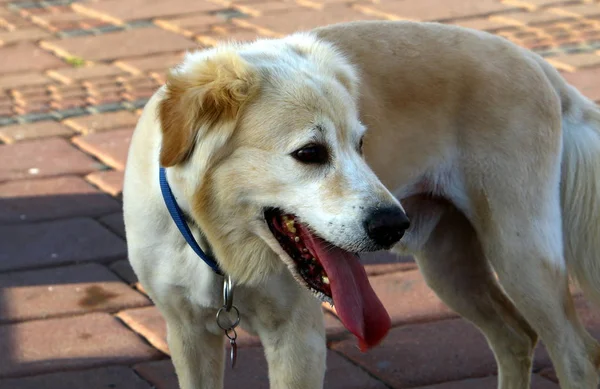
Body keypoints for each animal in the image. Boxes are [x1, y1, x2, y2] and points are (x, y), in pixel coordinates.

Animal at [124, 19, 600, 386]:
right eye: (310, 152)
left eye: (361, 145)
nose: (393, 225)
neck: (221, 250)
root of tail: (535, 62)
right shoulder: (187, 335)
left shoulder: (298, 338)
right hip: (449, 267)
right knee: (515, 337)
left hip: (522, 257)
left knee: (578, 358)